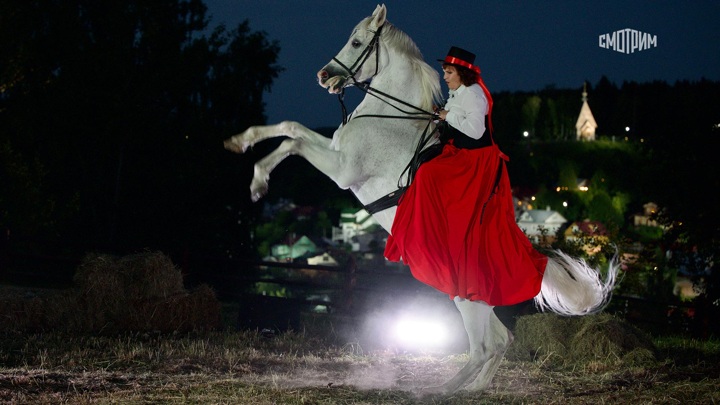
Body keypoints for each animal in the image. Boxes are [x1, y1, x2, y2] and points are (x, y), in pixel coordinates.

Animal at [225, 4, 620, 392]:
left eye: (356, 43)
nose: (324, 76)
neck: (388, 117)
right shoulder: (335, 150)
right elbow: (291, 128)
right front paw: (240, 141)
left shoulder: (341, 169)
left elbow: (292, 143)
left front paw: (257, 180)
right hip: (472, 297)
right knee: (500, 339)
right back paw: (472, 389)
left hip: (465, 297)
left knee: (484, 345)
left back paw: (442, 390)